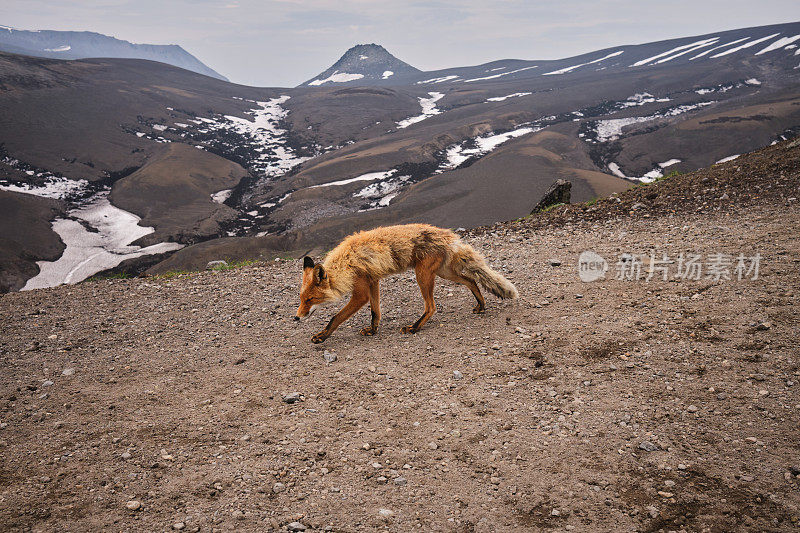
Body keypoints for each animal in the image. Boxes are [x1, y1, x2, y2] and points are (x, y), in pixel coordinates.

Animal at [296, 222, 520, 342]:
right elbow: (375, 312)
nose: (296, 318)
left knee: (431, 306)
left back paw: (414, 327)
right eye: (300, 299)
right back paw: (481, 305)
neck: (346, 264)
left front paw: (322, 336)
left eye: (310, 299)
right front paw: (373, 330)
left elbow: (336, 317)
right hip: (444, 273)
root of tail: (450, 237)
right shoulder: (373, 282)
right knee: (471, 279)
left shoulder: (360, 292)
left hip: (423, 276)